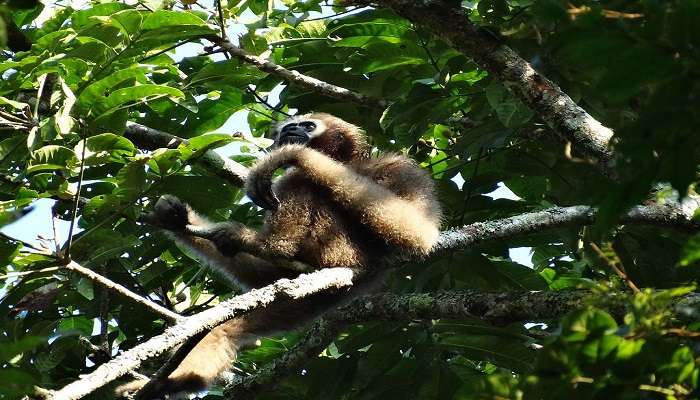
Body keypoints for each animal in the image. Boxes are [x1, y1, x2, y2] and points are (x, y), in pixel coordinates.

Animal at [117, 113, 440, 400]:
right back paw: (168, 382)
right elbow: (264, 276)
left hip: (339, 250)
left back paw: (272, 244)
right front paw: (174, 218)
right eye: (288, 126)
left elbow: (417, 232)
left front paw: (287, 156)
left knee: (301, 180)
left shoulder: (401, 167)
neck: (353, 163)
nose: (290, 131)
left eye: (307, 125)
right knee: (222, 328)